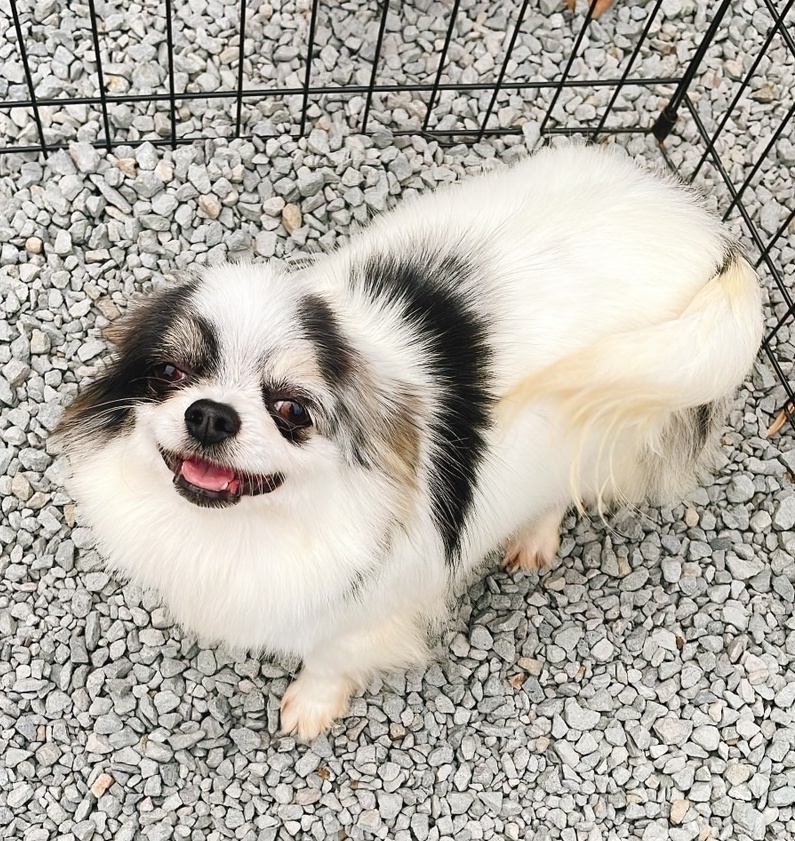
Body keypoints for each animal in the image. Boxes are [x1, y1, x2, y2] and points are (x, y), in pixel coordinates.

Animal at [57, 144, 763, 740]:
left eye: (292, 410)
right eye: (170, 373)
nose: (210, 416)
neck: (249, 527)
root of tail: (708, 233)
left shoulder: (365, 612)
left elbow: (329, 659)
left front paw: (310, 708)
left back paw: (535, 536)